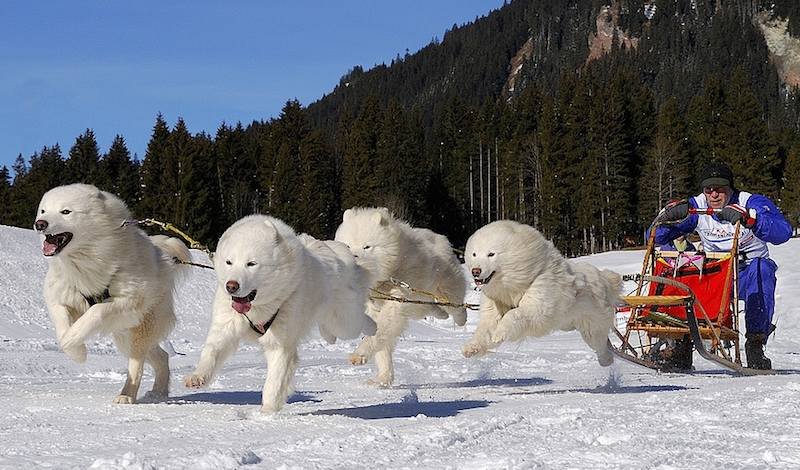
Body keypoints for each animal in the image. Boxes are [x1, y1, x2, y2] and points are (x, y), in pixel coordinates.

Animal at [36, 184, 191, 404]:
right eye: (43, 211)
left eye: (65, 211)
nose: (39, 224)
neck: (85, 260)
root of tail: (163, 256)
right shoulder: (59, 296)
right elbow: (61, 324)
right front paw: (76, 352)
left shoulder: (129, 302)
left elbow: (95, 312)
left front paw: (74, 344)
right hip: (125, 334)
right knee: (161, 356)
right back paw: (158, 392)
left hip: (137, 329)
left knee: (137, 365)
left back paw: (127, 395)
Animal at [186, 215, 376, 414]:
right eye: (229, 262)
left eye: (251, 264)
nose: (231, 286)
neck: (259, 308)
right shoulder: (225, 328)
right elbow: (211, 352)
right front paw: (197, 377)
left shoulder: (280, 345)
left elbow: (274, 382)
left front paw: (267, 413)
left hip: (345, 322)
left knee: (361, 321)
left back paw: (373, 328)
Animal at [332, 207, 468, 388]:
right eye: (347, 245)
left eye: (367, 247)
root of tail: (440, 238)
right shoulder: (377, 307)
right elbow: (382, 344)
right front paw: (383, 378)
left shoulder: (396, 302)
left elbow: (379, 332)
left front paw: (359, 355)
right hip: (418, 304)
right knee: (431, 308)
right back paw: (441, 314)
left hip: (445, 288)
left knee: (454, 303)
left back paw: (461, 318)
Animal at [460, 218, 620, 366]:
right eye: (474, 254)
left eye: (491, 254)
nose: (475, 271)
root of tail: (603, 278)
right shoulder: (494, 308)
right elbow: (485, 330)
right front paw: (471, 348)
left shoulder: (537, 306)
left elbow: (514, 314)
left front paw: (499, 333)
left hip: (592, 327)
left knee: (601, 345)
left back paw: (606, 360)